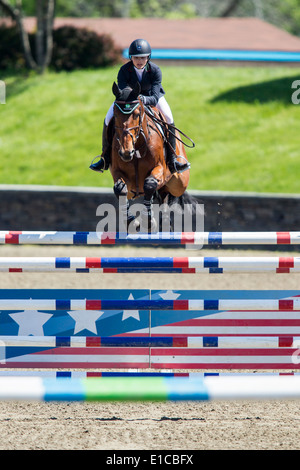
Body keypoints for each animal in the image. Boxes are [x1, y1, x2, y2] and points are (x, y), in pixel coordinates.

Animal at [109, 82, 196, 233]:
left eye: (137, 114)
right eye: (115, 114)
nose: (126, 152)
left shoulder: (159, 168)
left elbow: (149, 184)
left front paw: (149, 222)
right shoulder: (118, 172)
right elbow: (120, 189)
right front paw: (132, 222)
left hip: (179, 183)